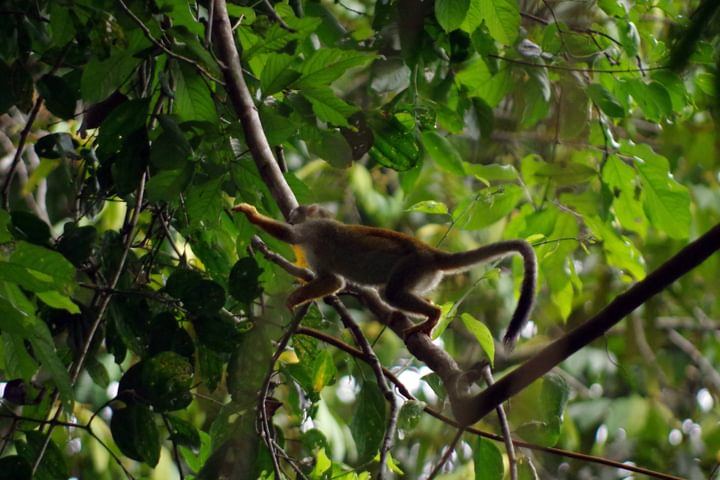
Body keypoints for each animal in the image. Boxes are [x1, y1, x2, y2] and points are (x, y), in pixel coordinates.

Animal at [233, 202, 536, 348]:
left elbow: (289, 234)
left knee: (391, 293)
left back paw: (434, 314)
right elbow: (334, 281)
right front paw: (297, 296)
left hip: (413, 265)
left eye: (297, 211)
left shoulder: (314, 230)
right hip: (423, 274)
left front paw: (250, 213)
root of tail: (431, 253)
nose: (292, 212)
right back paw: (430, 311)